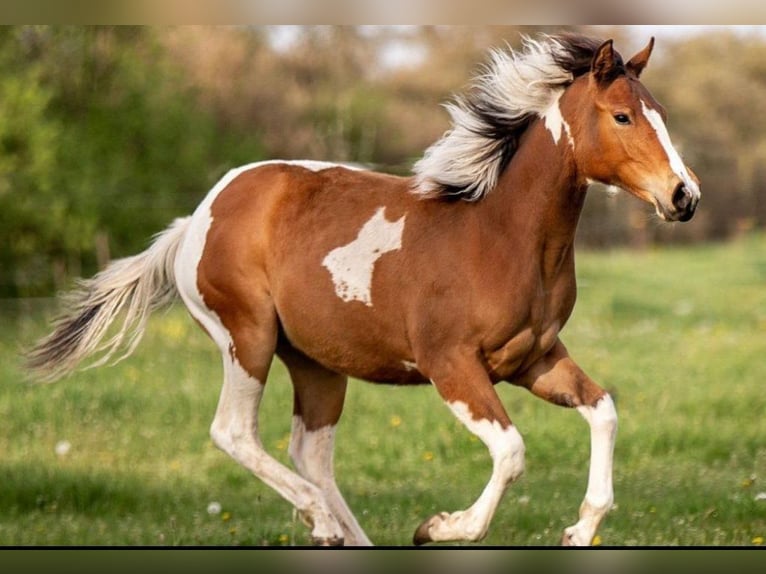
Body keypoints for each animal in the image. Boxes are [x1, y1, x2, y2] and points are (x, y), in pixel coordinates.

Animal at [27, 34, 700, 546]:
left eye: (663, 114)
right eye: (622, 116)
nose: (683, 196)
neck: (500, 235)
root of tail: (195, 219)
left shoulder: (534, 359)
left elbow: (604, 410)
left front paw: (579, 531)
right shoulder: (450, 365)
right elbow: (511, 451)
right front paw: (438, 527)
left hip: (317, 361)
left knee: (310, 452)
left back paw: (341, 532)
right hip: (246, 337)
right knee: (235, 433)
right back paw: (321, 521)